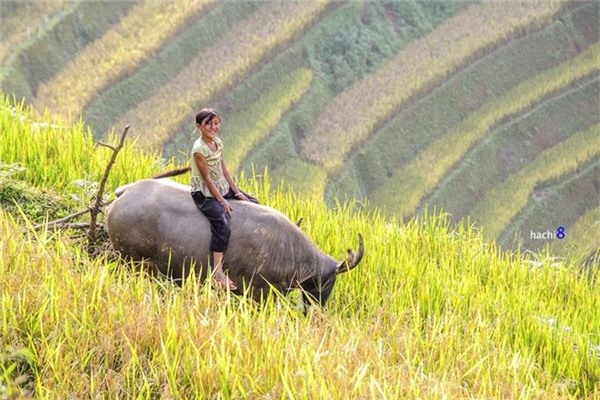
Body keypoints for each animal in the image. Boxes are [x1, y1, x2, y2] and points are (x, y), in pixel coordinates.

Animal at [105, 179, 364, 310]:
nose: (317, 310)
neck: (291, 251)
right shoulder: (260, 295)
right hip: (131, 261)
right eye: (330, 280)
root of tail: (125, 192)